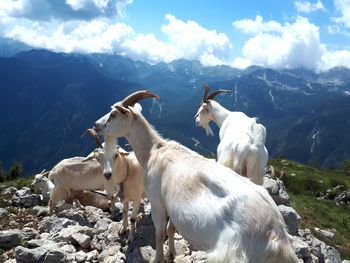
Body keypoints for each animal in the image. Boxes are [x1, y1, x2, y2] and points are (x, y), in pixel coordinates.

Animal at [93, 91, 298, 263]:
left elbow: (160, 232)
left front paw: (158, 258)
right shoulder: (172, 206)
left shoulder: (158, 202)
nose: (96, 125)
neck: (154, 151)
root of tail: (276, 235)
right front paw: (172, 254)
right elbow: (170, 229)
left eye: (113, 114)